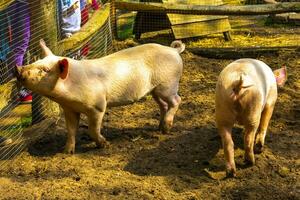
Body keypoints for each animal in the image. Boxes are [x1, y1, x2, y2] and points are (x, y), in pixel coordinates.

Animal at [17, 39, 185, 154]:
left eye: (45, 70)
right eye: (36, 61)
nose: (17, 68)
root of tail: (173, 50)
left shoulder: (98, 106)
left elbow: (92, 129)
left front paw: (104, 144)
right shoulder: (69, 109)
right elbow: (70, 130)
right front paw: (67, 152)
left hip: (167, 84)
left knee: (177, 100)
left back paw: (167, 128)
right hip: (155, 90)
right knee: (163, 105)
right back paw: (160, 128)